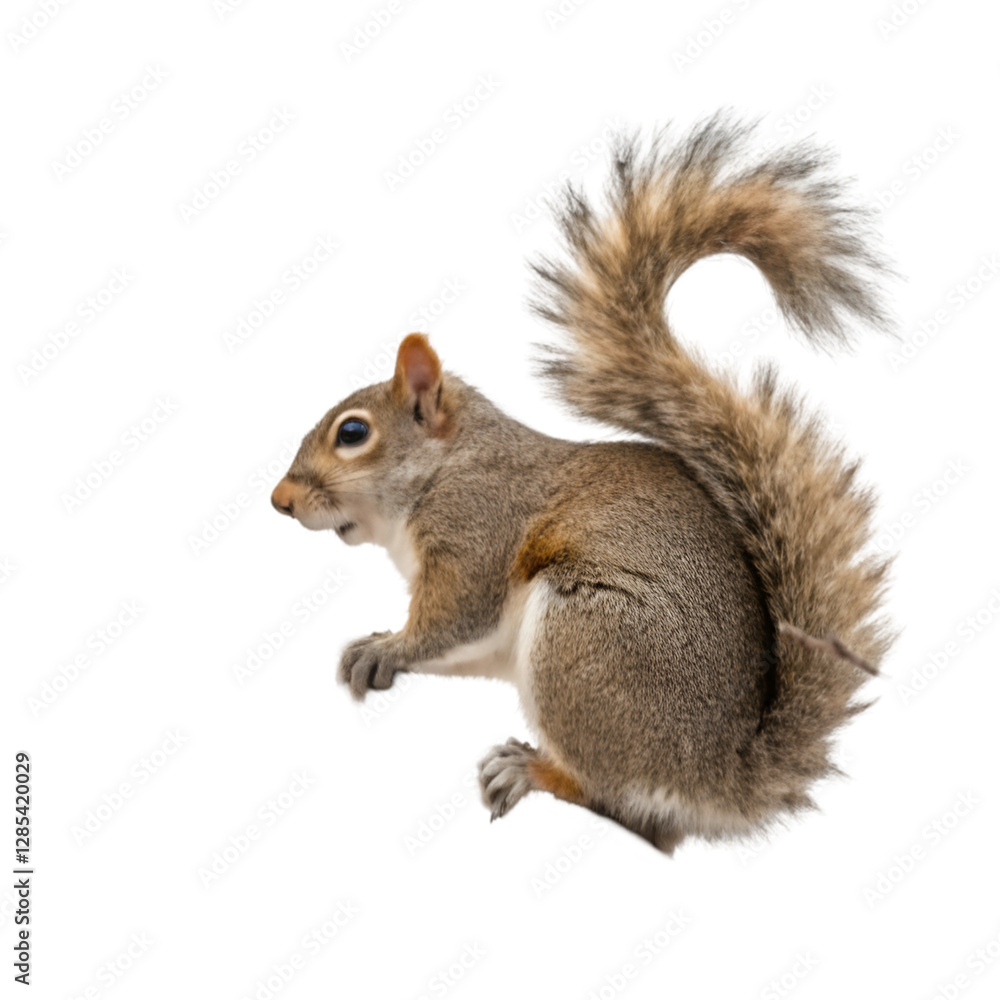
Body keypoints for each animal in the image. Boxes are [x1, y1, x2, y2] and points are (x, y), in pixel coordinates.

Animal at [271, 114, 894, 854]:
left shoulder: (475, 531)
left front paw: (386, 647)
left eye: (353, 433)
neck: (447, 466)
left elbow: (452, 619)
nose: (279, 501)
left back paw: (533, 769)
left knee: (609, 790)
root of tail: (720, 776)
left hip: (585, 638)